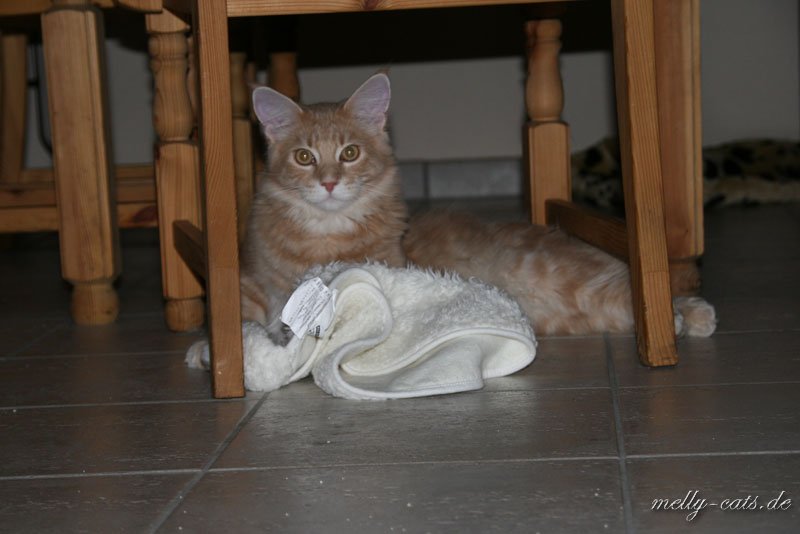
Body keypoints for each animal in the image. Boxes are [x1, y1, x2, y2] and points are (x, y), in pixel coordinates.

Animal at [242, 73, 716, 342]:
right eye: (304, 157)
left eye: (350, 153)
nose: (328, 183)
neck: (329, 233)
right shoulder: (264, 281)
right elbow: (257, 308)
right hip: (583, 308)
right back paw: (689, 318)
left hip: (568, 277)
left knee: (642, 290)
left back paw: (682, 317)